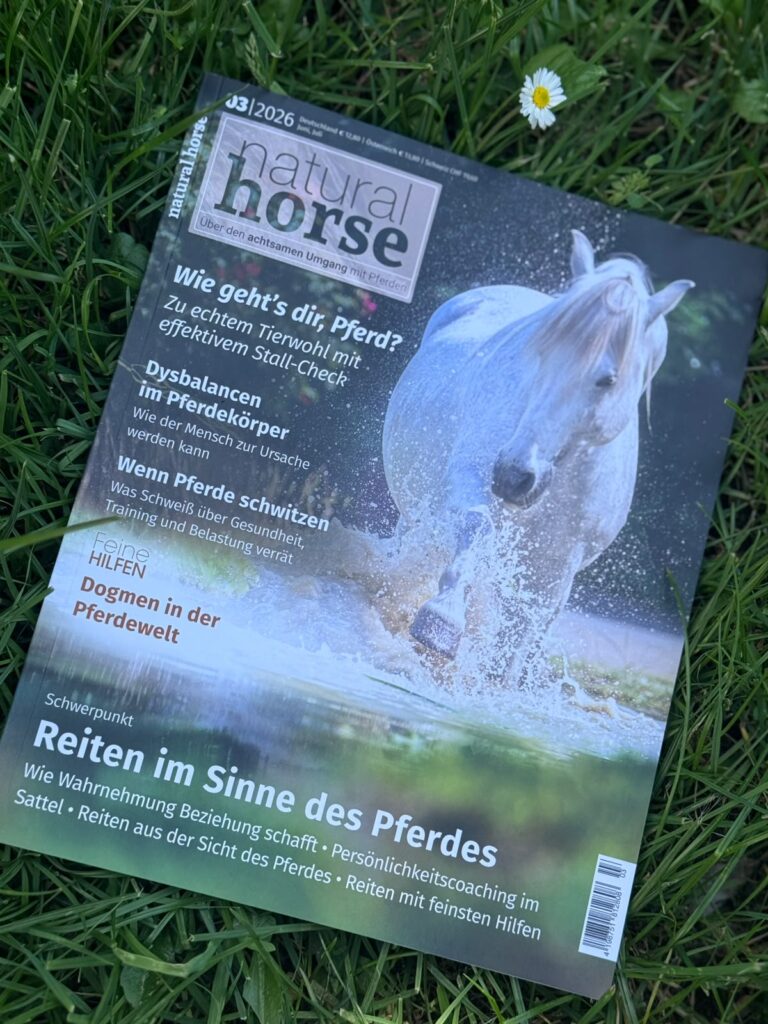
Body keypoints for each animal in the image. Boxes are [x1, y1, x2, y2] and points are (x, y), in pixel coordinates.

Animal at [380, 230, 693, 686]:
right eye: (540, 353)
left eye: (607, 379)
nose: (513, 475)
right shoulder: (469, 483)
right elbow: (477, 529)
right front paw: (440, 623)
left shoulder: (559, 564)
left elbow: (522, 632)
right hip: (417, 512)